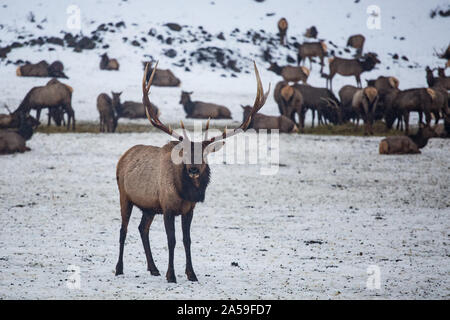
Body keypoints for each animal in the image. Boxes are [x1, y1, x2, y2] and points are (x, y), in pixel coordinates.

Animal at [115, 62, 270, 282]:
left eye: (204, 154)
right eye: (185, 153)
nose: (194, 169)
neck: (185, 193)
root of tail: (124, 156)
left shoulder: (189, 209)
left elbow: (187, 240)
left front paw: (191, 274)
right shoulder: (168, 207)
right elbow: (171, 240)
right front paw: (171, 275)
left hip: (149, 207)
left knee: (142, 229)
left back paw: (153, 268)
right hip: (124, 195)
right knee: (123, 229)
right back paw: (119, 268)